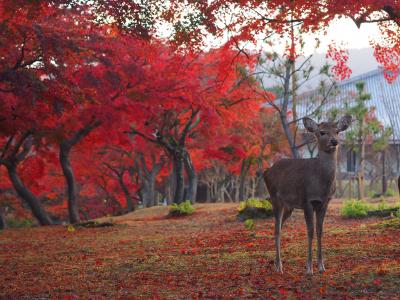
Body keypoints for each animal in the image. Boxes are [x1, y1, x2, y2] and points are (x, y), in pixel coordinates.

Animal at [264, 114, 352, 274]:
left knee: (279, 227)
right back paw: (279, 266)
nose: (334, 142)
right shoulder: (307, 201)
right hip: (274, 198)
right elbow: (310, 231)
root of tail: (266, 171)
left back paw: (276, 264)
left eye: (337, 131)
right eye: (322, 132)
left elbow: (320, 231)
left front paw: (322, 266)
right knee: (276, 229)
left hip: (289, 206)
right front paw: (309, 268)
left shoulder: (325, 202)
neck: (321, 183)